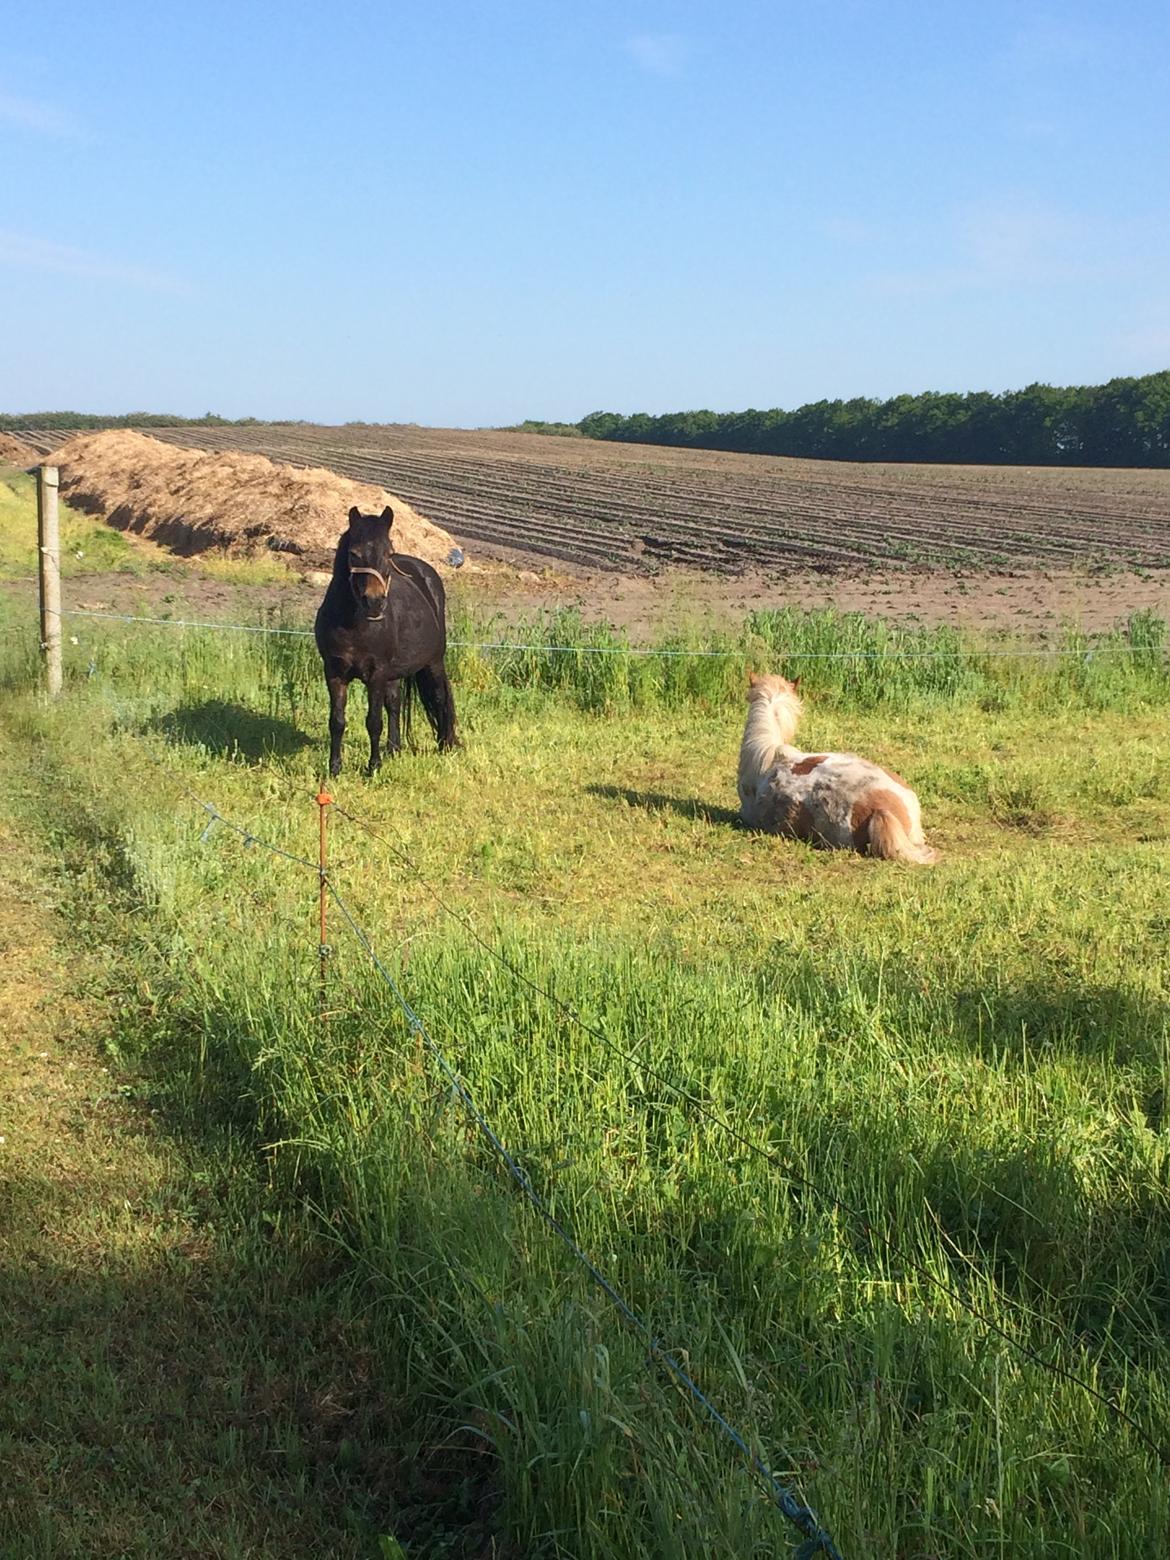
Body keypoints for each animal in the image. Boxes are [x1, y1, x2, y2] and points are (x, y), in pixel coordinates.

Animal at [316, 508, 461, 776]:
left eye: (389, 553)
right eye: (354, 553)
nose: (374, 602)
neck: (355, 625)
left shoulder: (377, 673)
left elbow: (374, 721)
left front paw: (373, 767)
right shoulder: (334, 672)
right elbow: (337, 721)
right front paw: (334, 768)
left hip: (433, 662)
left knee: (439, 697)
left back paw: (444, 745)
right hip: (394, 673)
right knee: (394, 702)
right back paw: (394, 748)